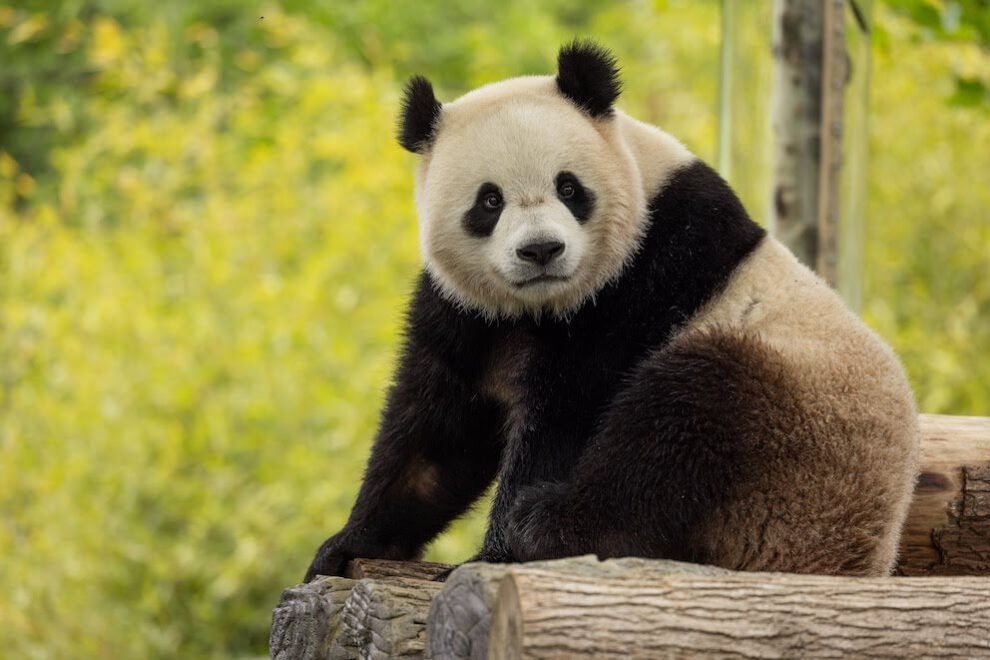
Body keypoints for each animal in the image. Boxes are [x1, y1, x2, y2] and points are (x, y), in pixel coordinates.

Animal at [305, 41, 920, 581]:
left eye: (569, 187)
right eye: (489, 200)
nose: (541, 250)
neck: (540, 306)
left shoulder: (645, 275)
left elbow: (568, 414)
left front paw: (495, 554)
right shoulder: (468, 311)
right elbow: (437, 432)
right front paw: (347, 546)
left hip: (795, 438)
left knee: (681, 421)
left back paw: (548, 524)